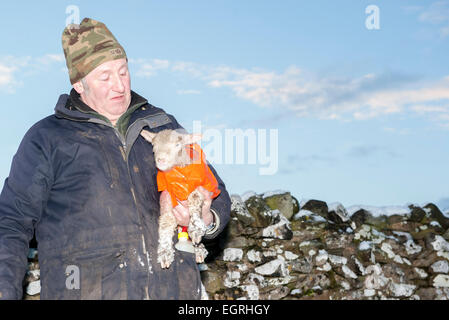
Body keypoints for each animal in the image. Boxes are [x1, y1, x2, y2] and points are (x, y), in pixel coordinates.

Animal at [138, 129, 219, 268]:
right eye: (154, 146)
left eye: (177, 145)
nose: (161, 160)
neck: (178, 175)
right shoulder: (167, 195)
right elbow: (166, 221)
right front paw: (165, 252)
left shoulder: (198, 187)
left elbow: (195, 199)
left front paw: (196, 228)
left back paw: (199, 249)